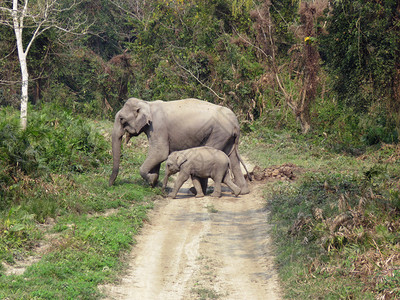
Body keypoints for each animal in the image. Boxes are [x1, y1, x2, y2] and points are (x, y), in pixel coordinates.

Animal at [108, 98, 248, 195]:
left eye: (121, 119)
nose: (110, 185)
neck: (147, 104)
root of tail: (235, 122)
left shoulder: (158, 127)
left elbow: (160, 153)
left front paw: (151, 180)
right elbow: (157, 157)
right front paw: (153, 183)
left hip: (218, 133)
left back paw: (195, 191)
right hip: (228, 137)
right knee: (233, 159)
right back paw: (242, 191)